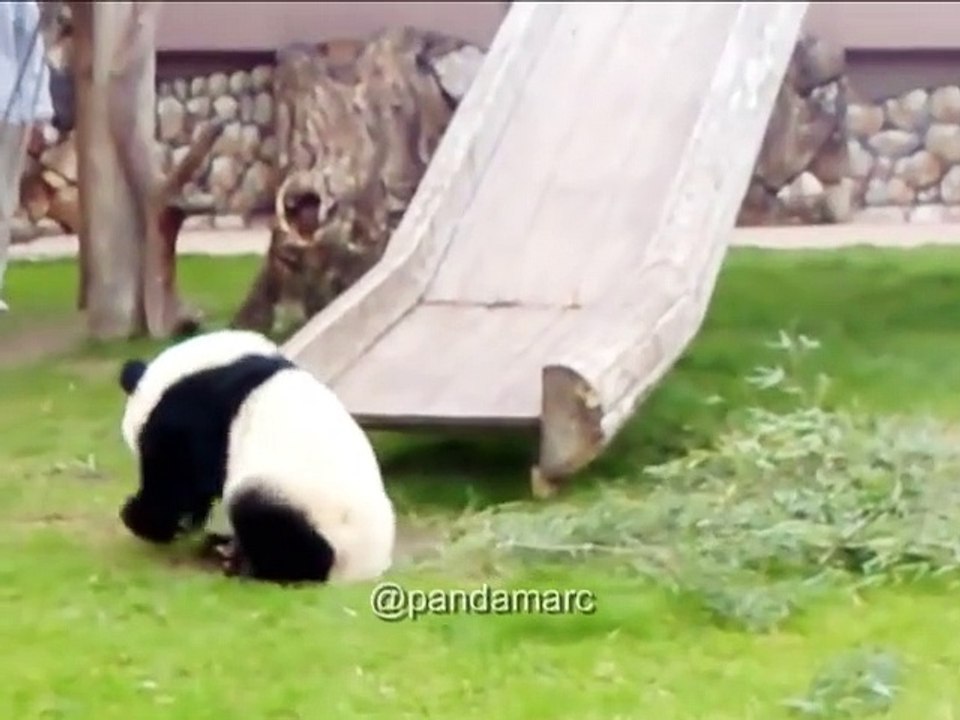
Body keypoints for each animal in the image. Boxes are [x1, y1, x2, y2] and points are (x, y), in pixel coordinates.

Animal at [116, 328, 396, 585]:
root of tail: (361, 571)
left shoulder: (198, 412)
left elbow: (179, 477)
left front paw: (141, 518)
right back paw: (221, 546)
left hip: (308, 511)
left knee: (267, 522)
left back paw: (246, 567)